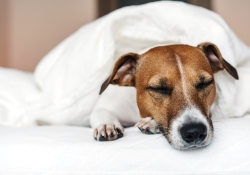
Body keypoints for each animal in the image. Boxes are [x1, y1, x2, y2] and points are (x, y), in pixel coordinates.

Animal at [90, 41, 238, 150]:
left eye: (205, 83)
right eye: (159, 88)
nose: (194, 131)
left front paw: (151, 122)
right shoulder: (105, 106)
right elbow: (102, 112)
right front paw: (107, 125)